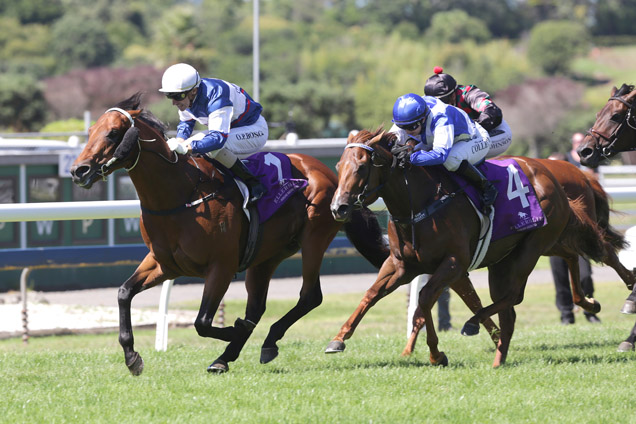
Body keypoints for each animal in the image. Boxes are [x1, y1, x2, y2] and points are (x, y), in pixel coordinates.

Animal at [68, 93, 392, 374]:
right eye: (90, 131)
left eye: (112, 133)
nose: (78, 170)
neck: (179, 196)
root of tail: (333, 176)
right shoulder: (164, 264)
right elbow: (124, 293)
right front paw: (132, 357)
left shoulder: (221, 266)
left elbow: (202, 322)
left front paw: (234, 330)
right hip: (266, 256)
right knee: (257, 307)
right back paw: (229, 356)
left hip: (314, 239)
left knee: (309, 296)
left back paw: (262, 342)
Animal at [328, 130, 608, 368]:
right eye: (339, 167)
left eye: (361, 167)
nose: (338, 207)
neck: (420, 203)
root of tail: (553, 176)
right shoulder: (401, 265)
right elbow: (372, 294)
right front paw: (338, 339)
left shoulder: (454, 263)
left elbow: (425, 299)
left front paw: (436, 354)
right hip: (520, 254)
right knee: (560, 263)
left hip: (533, 246)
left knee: (513, 295)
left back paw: (475, 327)